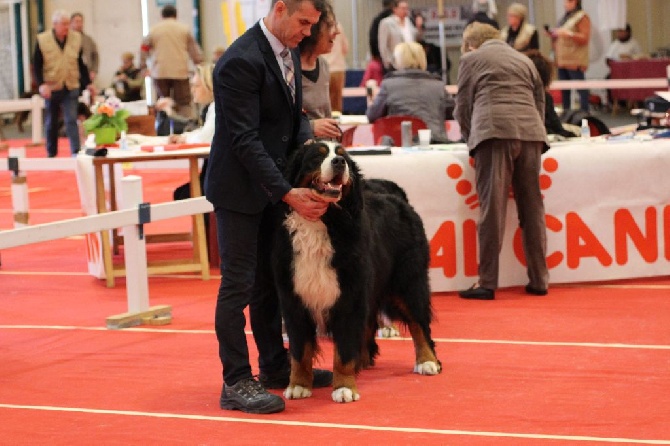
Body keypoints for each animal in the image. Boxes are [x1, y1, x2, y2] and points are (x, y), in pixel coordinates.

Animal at [272, 140, 440, 404]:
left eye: (343, 156)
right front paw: (298, 385)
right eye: (317, 156)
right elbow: (300, 350)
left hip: (408, 282)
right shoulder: (294, 298)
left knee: (419, 323)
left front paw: (344, 387)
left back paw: (427, 361)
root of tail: (398, 197)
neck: (324, 222)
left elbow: (344, 349)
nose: (339, 162)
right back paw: (363, 360)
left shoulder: (349, 295)